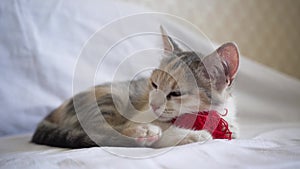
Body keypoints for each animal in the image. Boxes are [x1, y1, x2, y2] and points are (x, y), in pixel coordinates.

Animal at [31, 26, 240, 148]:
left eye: (176, 93)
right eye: (154, 84)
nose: (154, 104)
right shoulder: (139, 114)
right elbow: (162, 134)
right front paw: (191, 136)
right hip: (111, 97)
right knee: (100, 132)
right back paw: (143, 132)